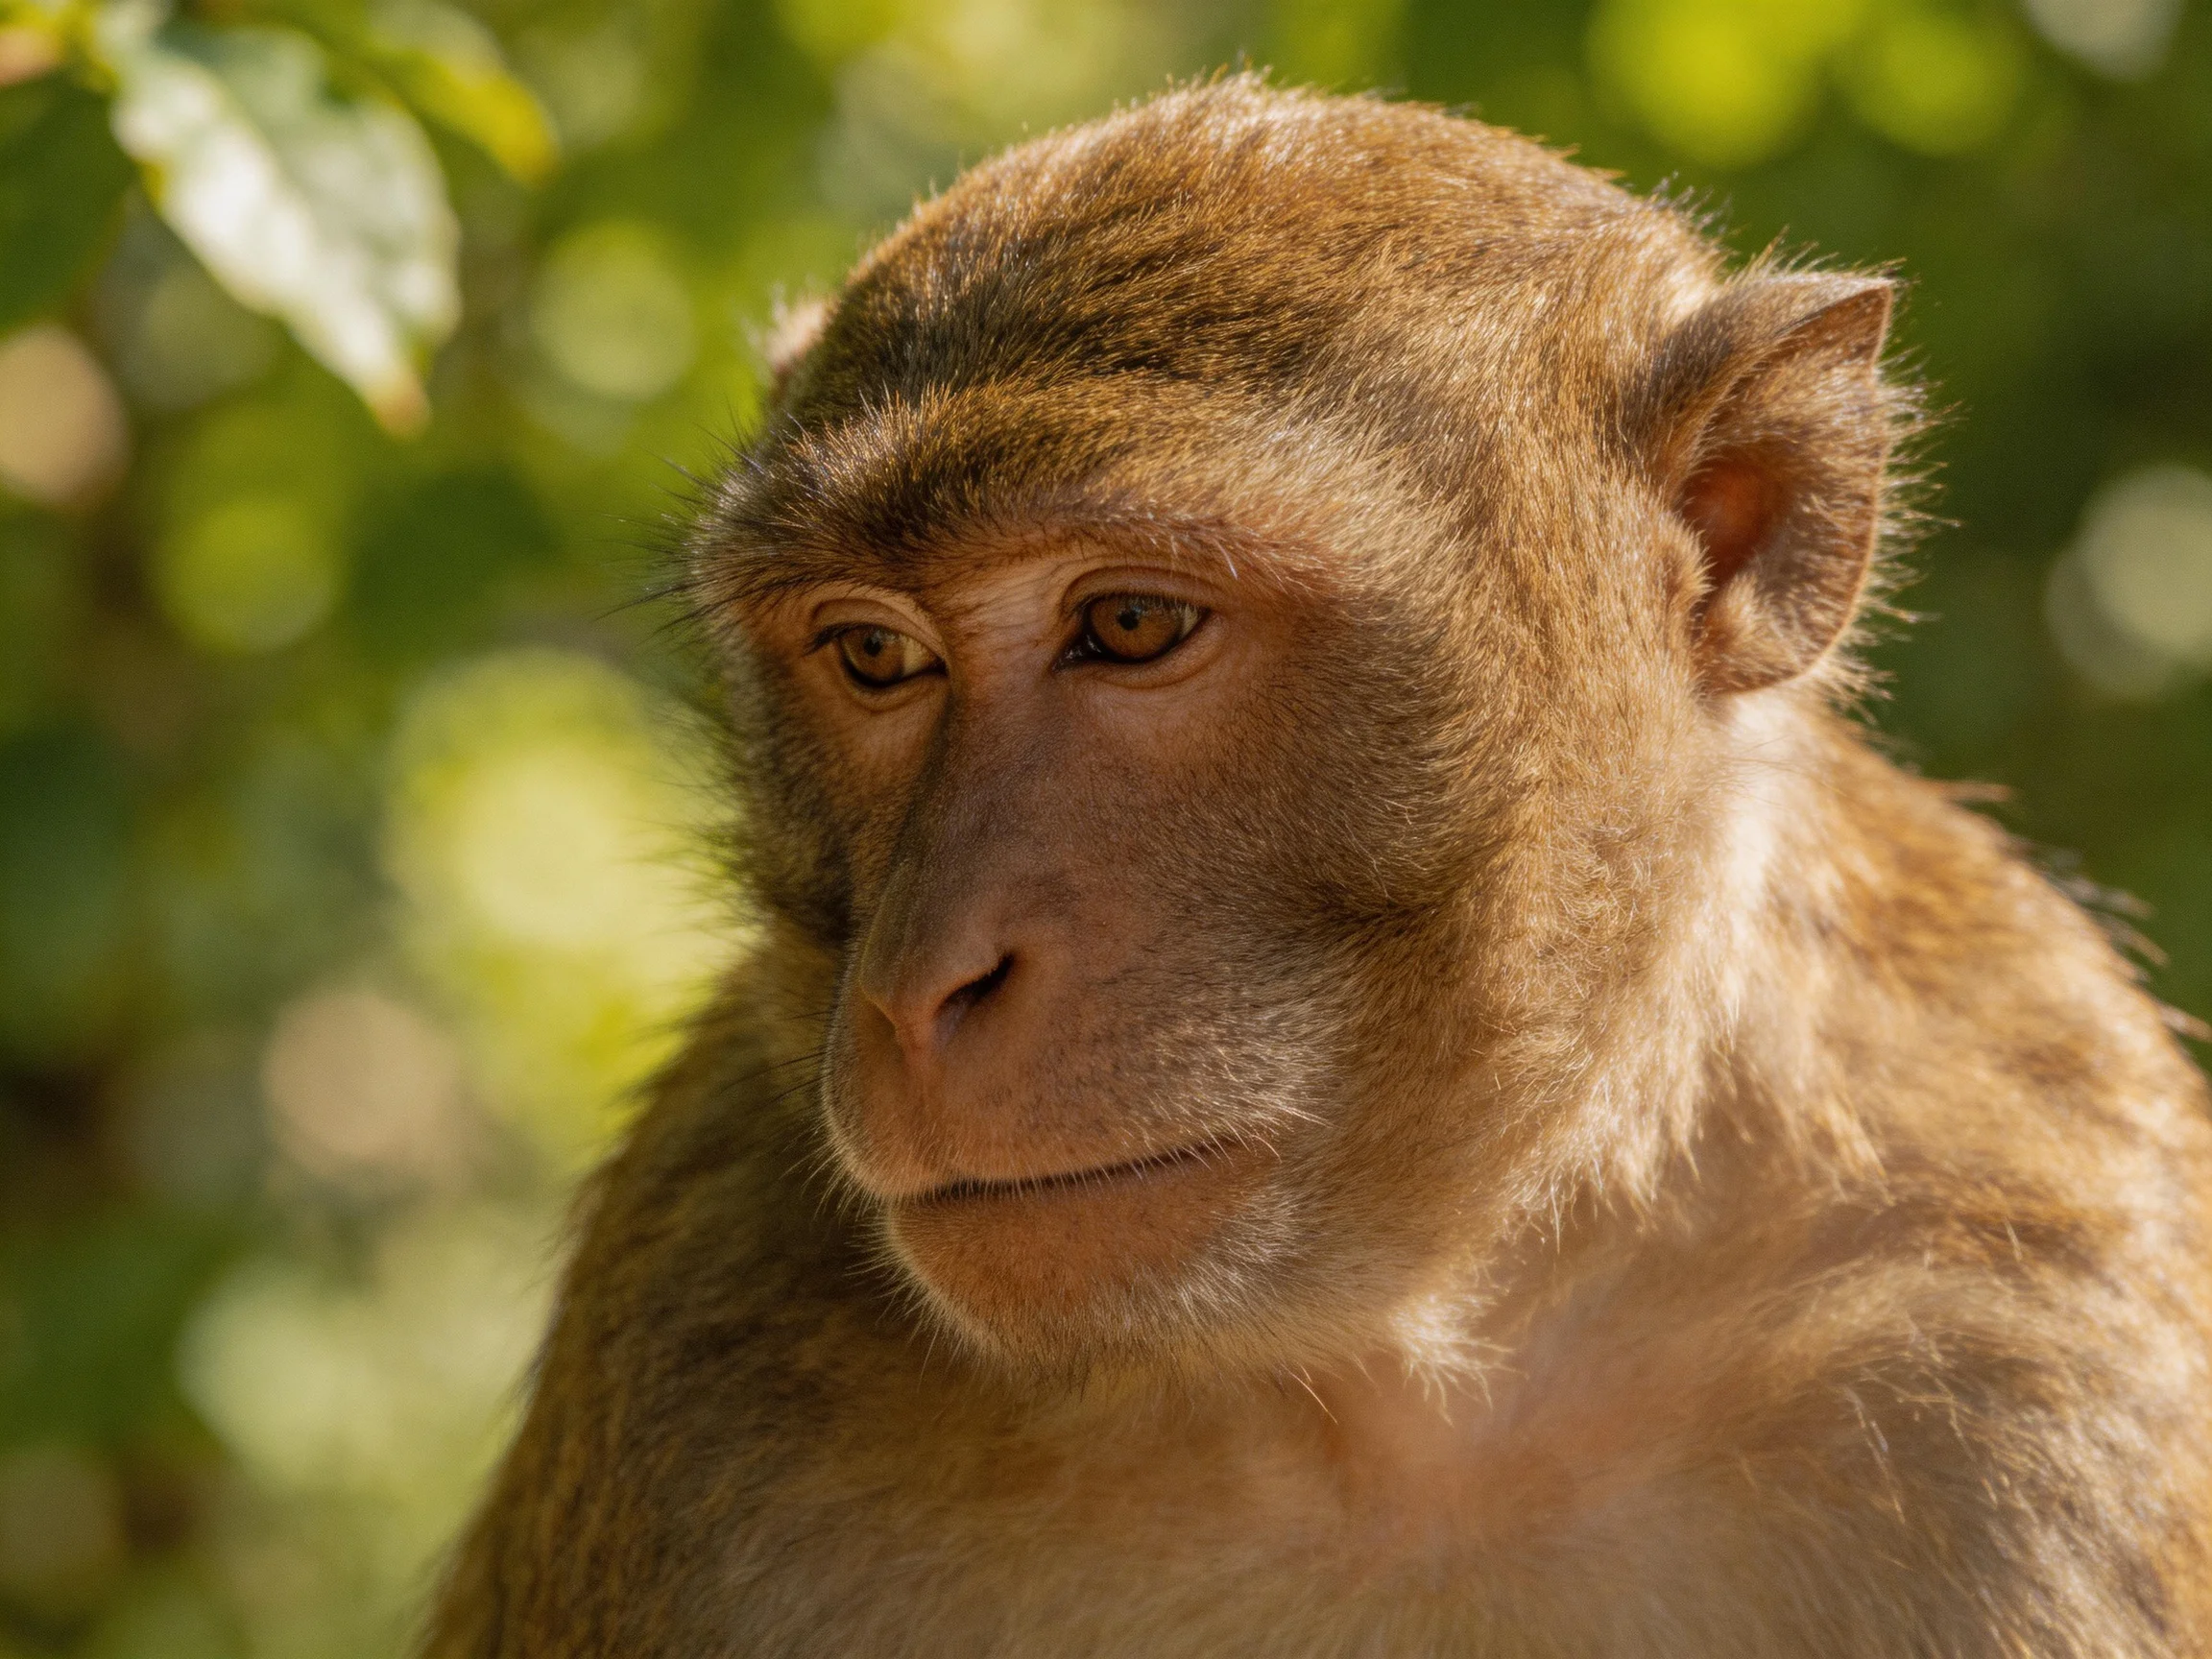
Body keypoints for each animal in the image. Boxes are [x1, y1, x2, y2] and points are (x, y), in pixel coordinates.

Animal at [423, 78, 2212, 1658]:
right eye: (873, 654)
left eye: (1132, 623)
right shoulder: (693, 1321)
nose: (923, 982)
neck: (1408, 1388)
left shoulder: (2042, 1333)